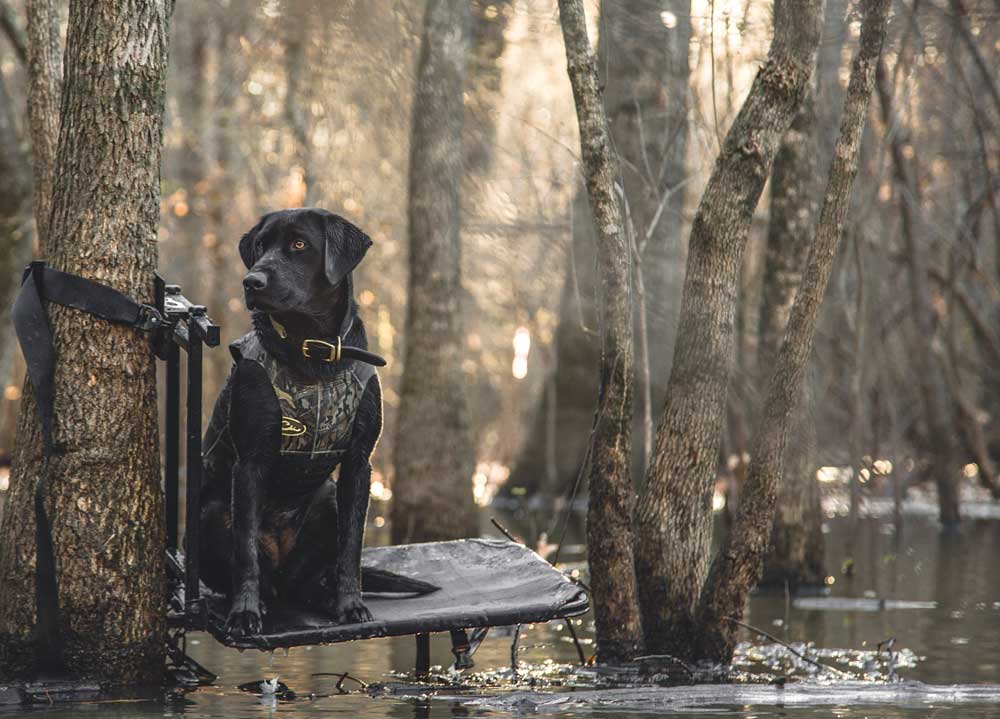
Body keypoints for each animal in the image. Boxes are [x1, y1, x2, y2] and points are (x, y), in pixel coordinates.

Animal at [200, 207, 434, 636]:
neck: (313, 351)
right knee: (253, 571)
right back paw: (254, 599)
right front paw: (244, 612)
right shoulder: (250, 462)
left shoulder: (360, 464)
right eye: (261, 246)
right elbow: (245, 550)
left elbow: (351, 549)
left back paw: (320, 596)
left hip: (327, 500)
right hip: (212, 514)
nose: (251, 281)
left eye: (299, 244)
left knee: (305, 581)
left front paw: (351, 605)